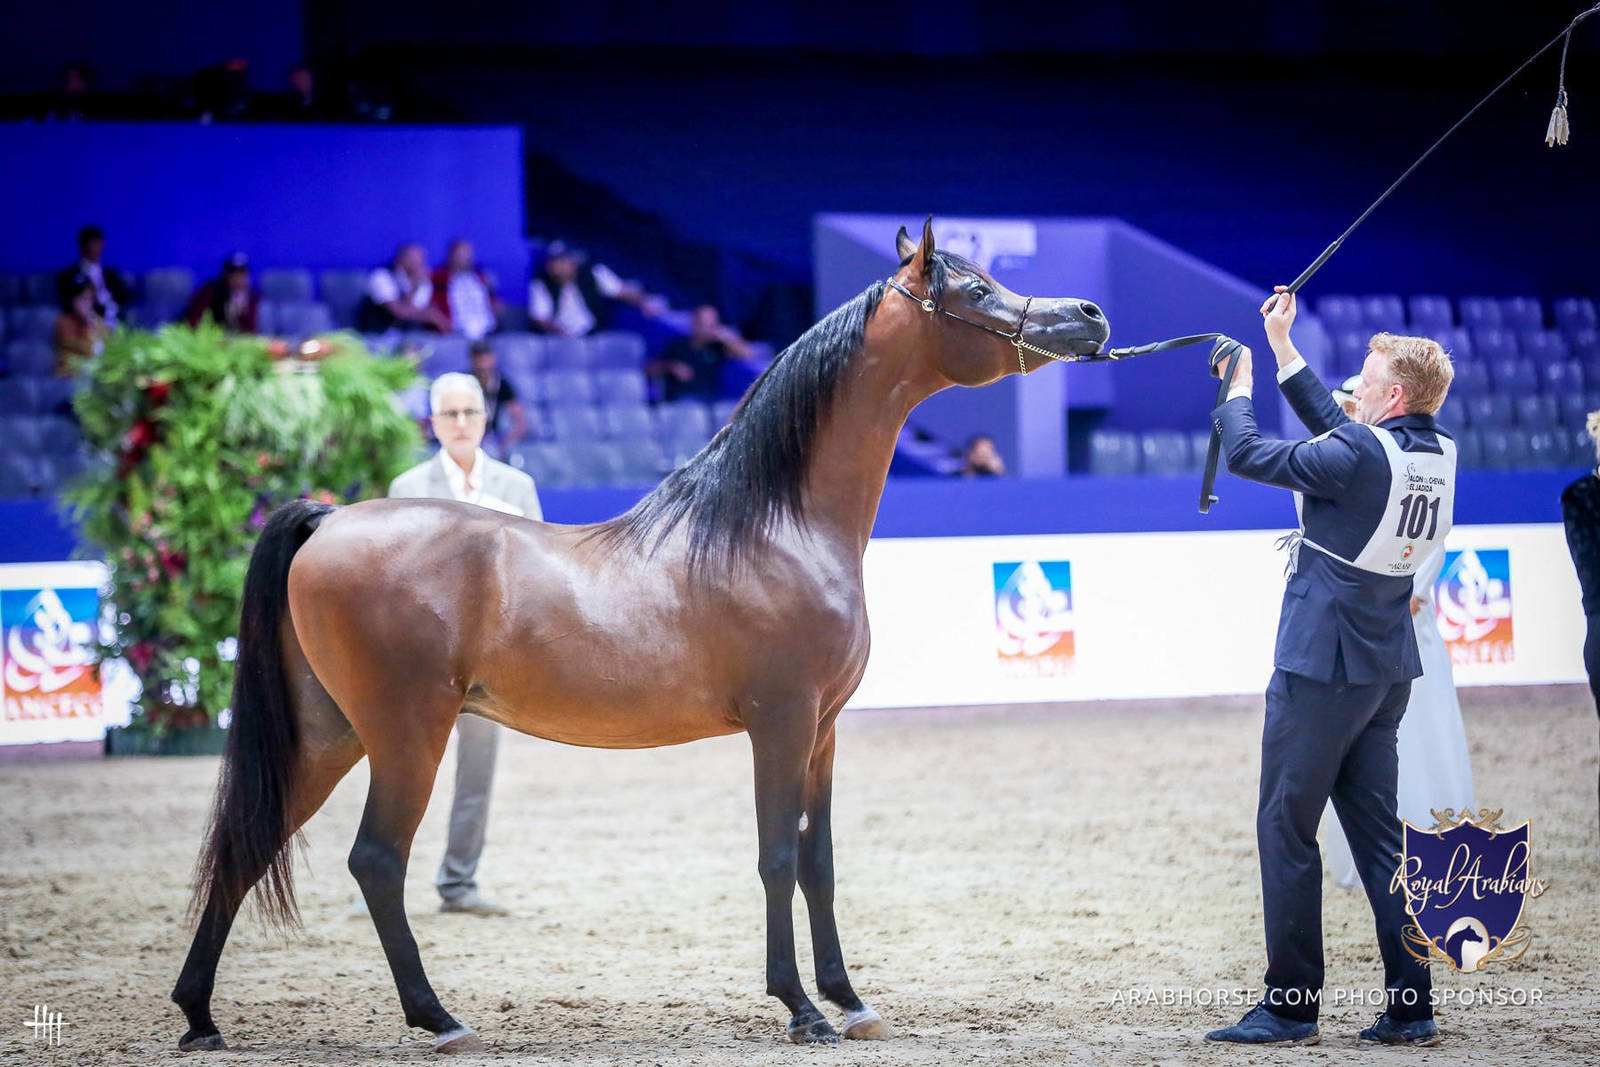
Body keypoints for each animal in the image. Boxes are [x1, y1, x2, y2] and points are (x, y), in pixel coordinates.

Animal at [170, 218, 1109, 1054]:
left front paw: (850, 999)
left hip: (329, 734)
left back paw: (201, 1016)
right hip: (406, 734)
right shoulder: (780, 722)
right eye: (976, 290)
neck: (778, 525)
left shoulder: (824, 731)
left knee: (250, 841)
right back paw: (439, 1018)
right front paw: (801, 1008)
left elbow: (820, 862)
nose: (1090, 317)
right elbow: (776, 856)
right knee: (376, 860)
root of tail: (329, 520)